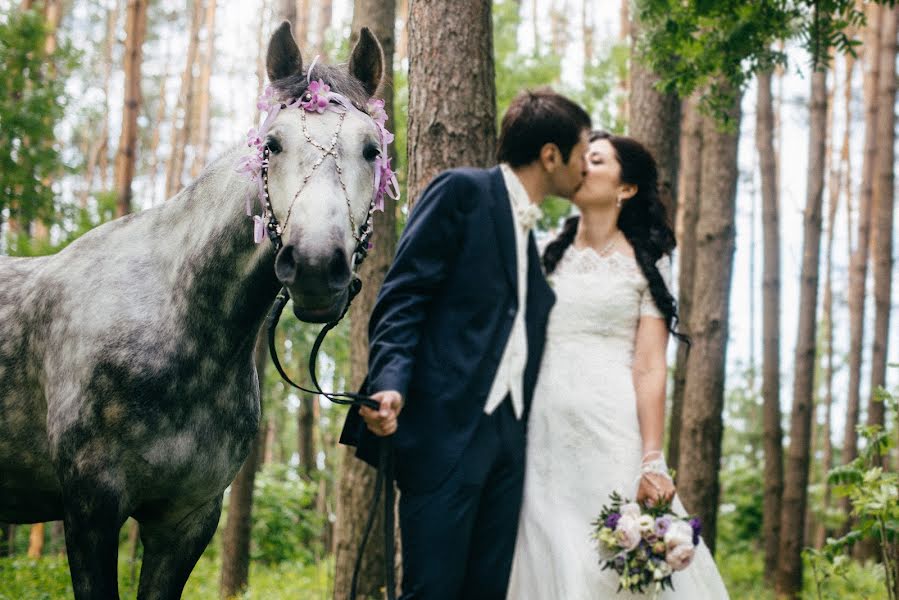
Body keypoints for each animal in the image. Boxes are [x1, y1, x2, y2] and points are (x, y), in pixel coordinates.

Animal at [0, 23, 384, 600]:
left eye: (372, 149)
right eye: (271, 146)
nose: (317, 265)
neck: (179, 325)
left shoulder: (188, 520)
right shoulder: (90, 511)